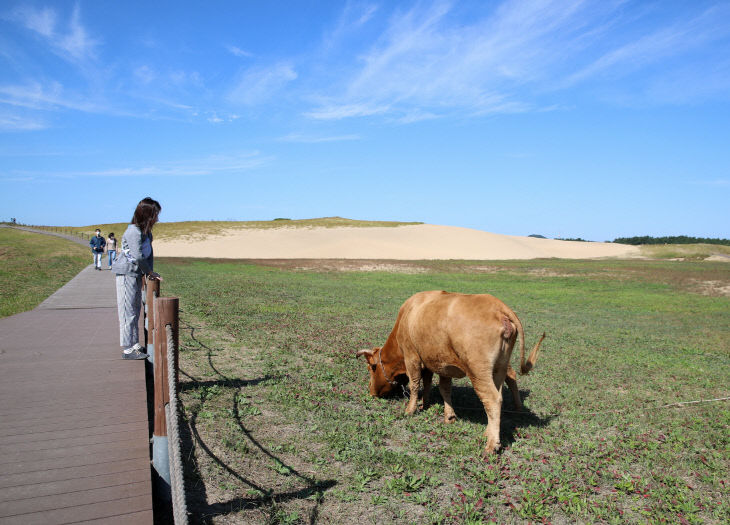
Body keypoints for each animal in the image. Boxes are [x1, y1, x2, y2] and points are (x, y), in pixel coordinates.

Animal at [356, 290, 544, 454]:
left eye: (371, 367)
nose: (371, 392)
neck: (409, 315)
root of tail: (498, 306)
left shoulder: (412, 356)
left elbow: (415, 384)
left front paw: (410, 410)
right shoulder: (438, 362)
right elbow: (440, 387)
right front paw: (442, 412)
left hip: (478, 370)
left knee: (492, 399)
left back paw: (492, 444)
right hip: (499, 368)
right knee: (502, 388)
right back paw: (490, 430)